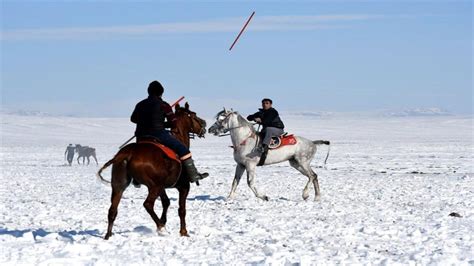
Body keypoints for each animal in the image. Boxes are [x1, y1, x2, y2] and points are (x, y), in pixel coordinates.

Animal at [97, 102, 206, 239]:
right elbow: (181, 209)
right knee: (147, 204)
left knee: (112, 210)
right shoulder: (183, 186)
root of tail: (127, 153)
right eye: (194, 115)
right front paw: (183, 231)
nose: (204, 124)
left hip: (119, 184)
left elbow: (166, 202)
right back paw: (161, 227)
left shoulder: (163, 187)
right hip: (153, 186)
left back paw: (108, 235)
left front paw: (164, 220)